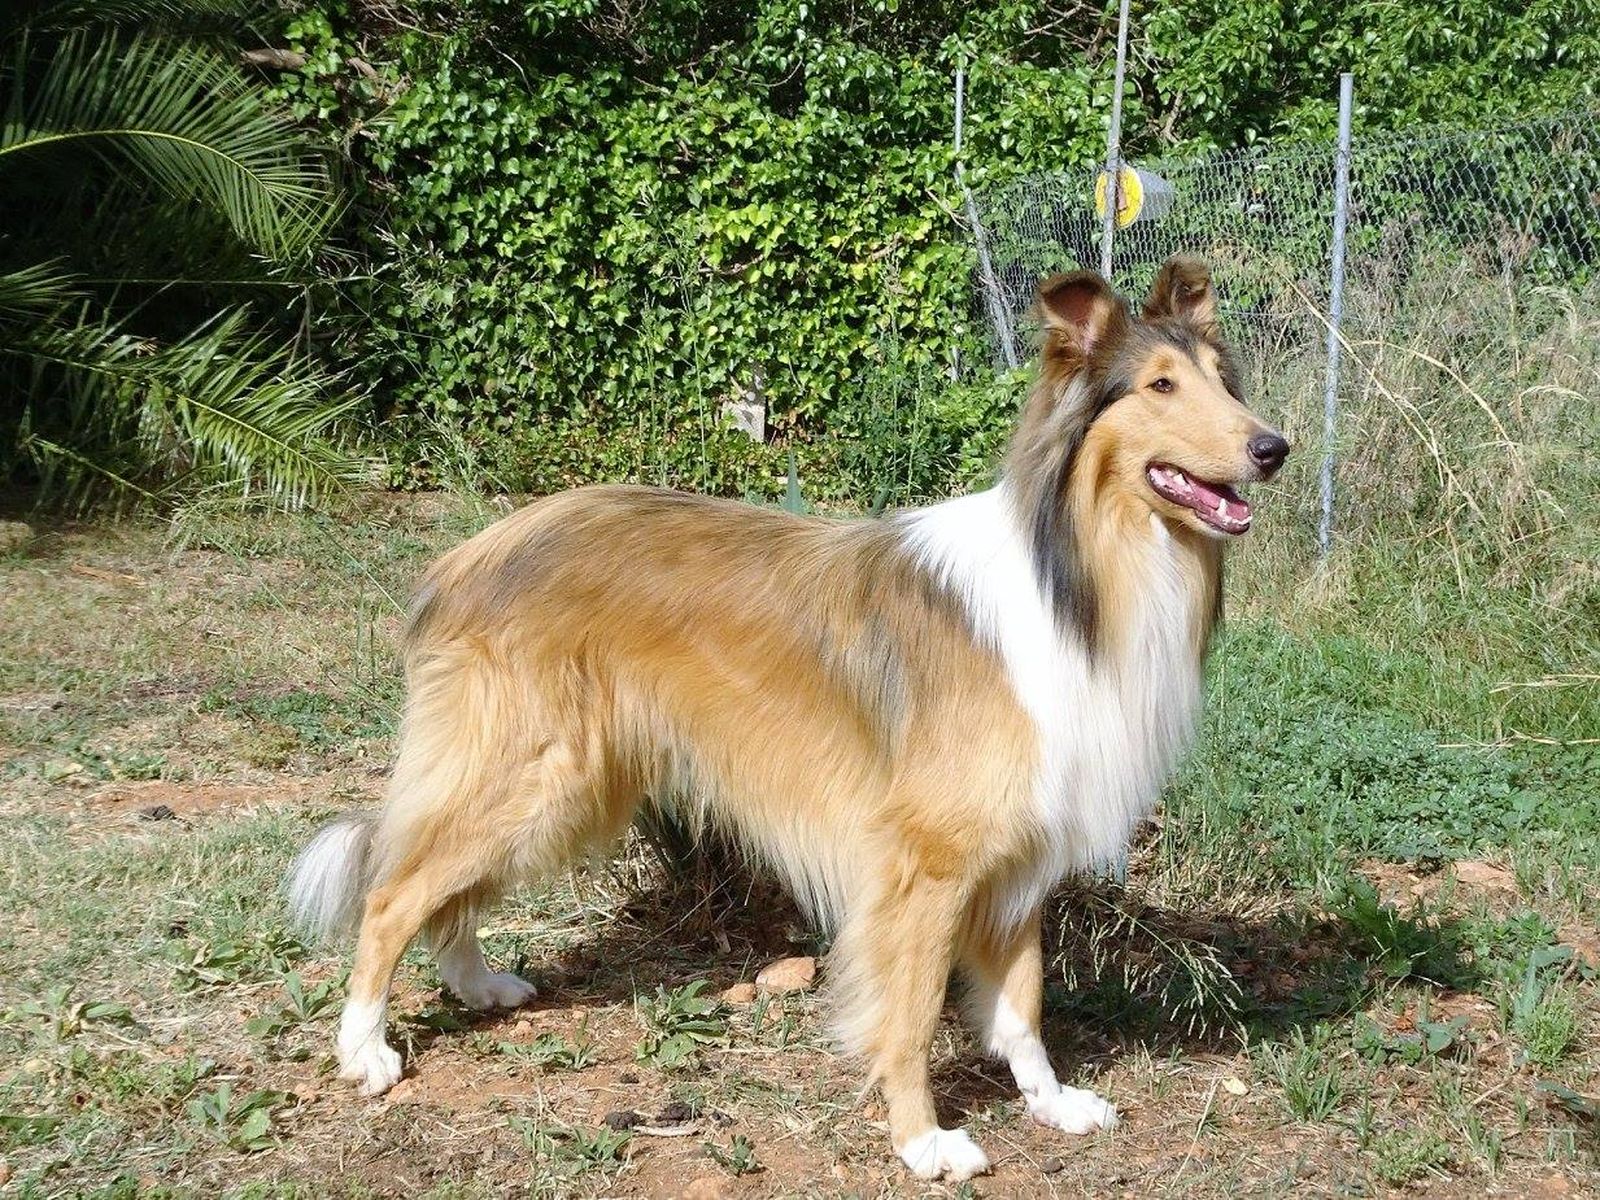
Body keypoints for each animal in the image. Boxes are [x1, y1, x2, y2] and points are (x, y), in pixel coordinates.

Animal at [288, 256, 1286, 1184]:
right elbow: (910, 1014)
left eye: (1220, 381)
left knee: (443, 891)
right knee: (391, 893)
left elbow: (1022, 1002)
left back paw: (475, 983)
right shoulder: (924, 866)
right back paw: (364, 1048)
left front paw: (1051, 1102)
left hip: (569, 790)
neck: (1074, 574)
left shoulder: (1016, 857)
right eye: (1160, 386)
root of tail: (473, 552)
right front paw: (923, 1141)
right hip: (533, 775)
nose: (1273, 447)